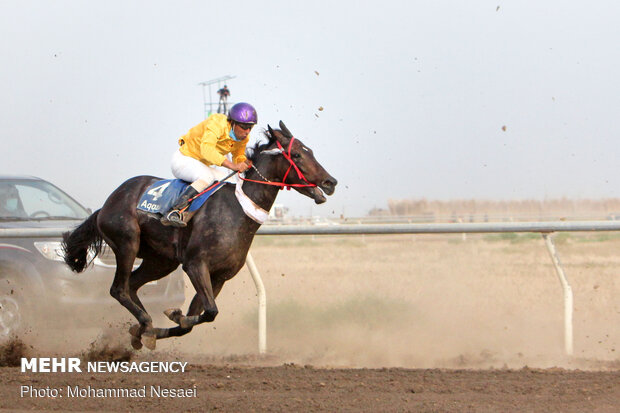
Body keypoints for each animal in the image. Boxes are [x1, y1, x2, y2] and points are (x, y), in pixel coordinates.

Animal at [60, 120, 336, 350]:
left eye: (310, 151)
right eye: (297, 154)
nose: (330, 182)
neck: (237, 212)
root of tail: (106, 204)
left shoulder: (219, 277)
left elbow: (195, 320)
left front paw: (163, 326)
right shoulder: (195, 265)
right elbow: (210, 311)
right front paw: (173, 316)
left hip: (161, 261)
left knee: (133, 285)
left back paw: (142, 329)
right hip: (127, 242)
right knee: (119, 289)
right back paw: (145, 322)